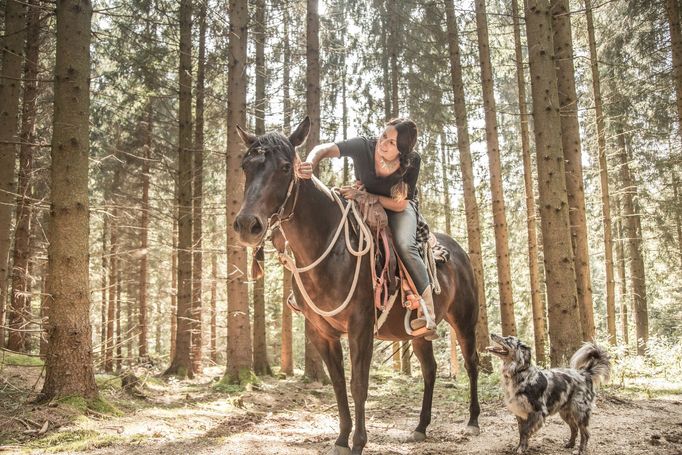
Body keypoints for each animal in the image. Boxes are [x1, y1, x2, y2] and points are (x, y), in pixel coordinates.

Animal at [234, 118, 478, 455]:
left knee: (471, 363)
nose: (248, 225)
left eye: (284, 167)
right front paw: (341, 439)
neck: (328, 249)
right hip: (416, 334)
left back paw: (473, 421)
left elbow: (358, 384)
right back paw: (420, 427)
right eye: (246, 166)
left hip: (465, 320)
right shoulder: (320, 332)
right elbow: (338, 383)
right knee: (430, 369)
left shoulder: (361, 327)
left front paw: (359, 442)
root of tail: (457, 249)